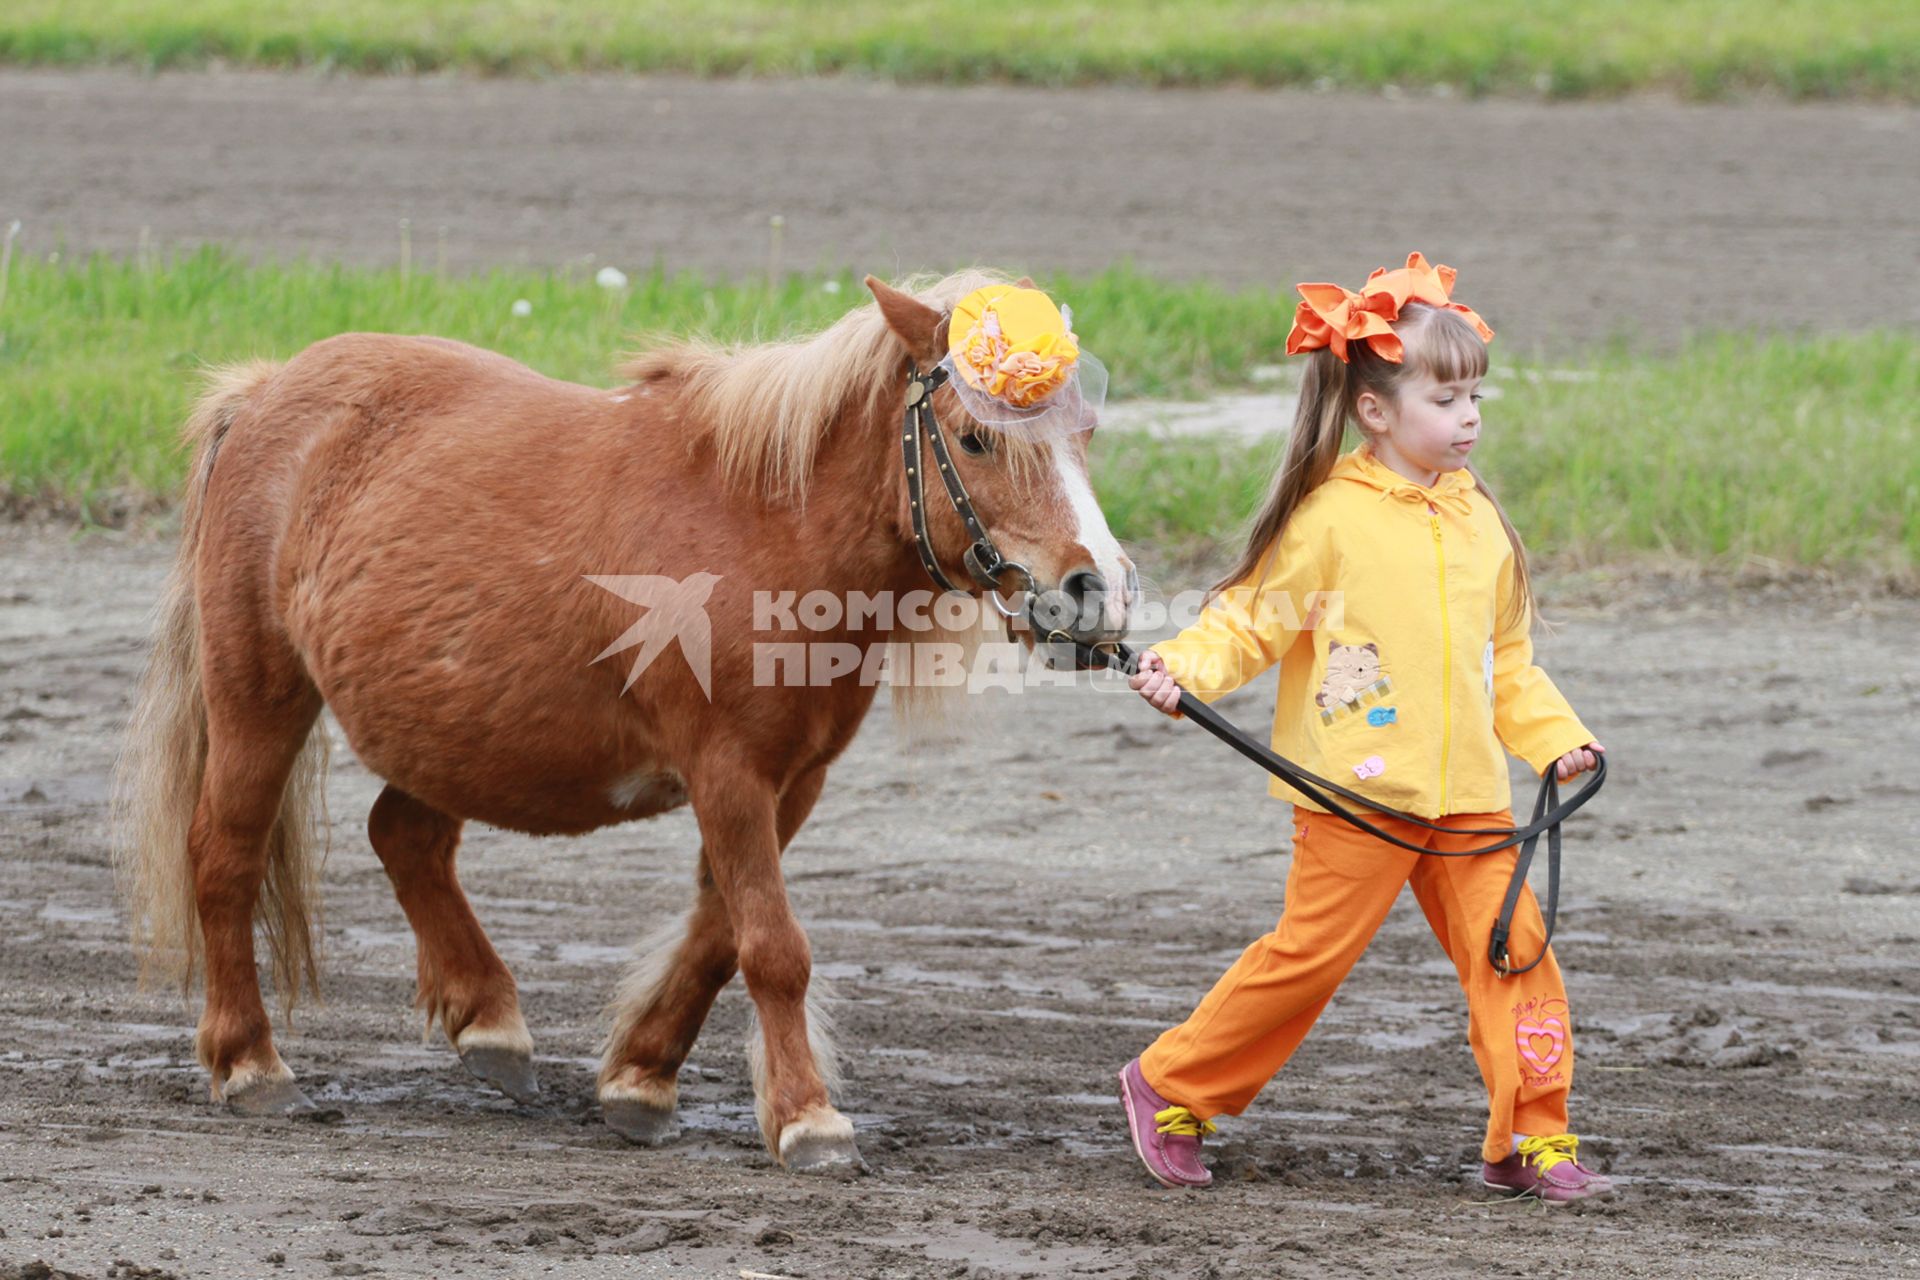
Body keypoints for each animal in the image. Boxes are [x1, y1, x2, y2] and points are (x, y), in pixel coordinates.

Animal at [112, 270, 1128, 1174]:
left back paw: (489, 1022)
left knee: (403, 835)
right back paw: (250, 1062)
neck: (767, 528)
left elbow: (718, 937)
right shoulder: (727, 773)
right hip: (259, 695)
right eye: (975, 440)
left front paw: (641, 1080)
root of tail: (263, 392)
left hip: (448, 730)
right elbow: (772, 946)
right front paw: (809, 1120)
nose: (1097, 593)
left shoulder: (791, 781)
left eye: (1085, 433)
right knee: (226, 854)